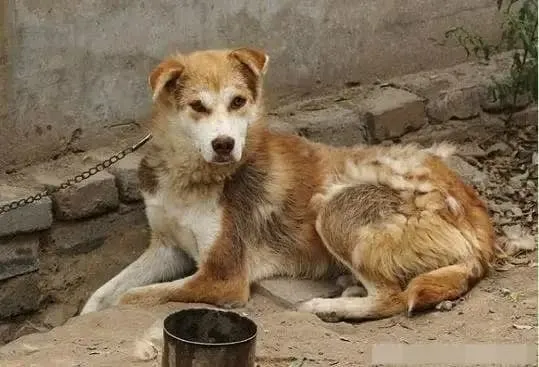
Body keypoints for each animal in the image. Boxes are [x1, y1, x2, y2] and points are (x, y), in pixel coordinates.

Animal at [80, 46, 498, 324]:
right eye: (197, 106)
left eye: (238, 102)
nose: (224, 144)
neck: (190, 176)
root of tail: (482, 222)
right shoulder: (167, 248)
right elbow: (104, 293)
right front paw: (85, 311)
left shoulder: (224, 277)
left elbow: (132, 297)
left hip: (335, 207)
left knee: (392, 296)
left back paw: (328, 306)